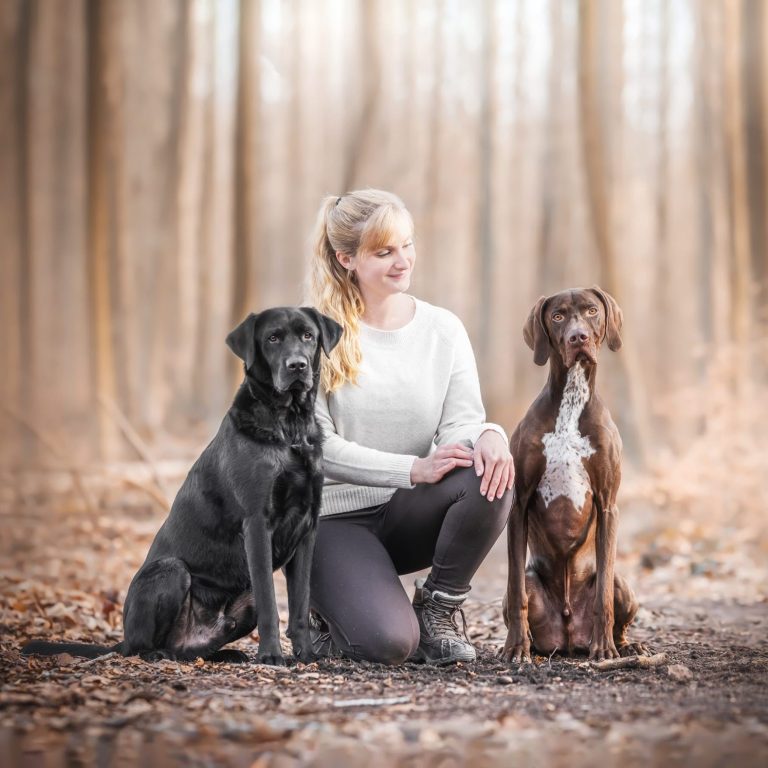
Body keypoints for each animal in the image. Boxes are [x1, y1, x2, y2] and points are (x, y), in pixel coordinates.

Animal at [22, 306, 340, 664]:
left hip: (240, 603)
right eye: (273, 338)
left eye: (308, 335)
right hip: (171, 571)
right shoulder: (257, 523)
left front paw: (307, 655)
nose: (297, 365)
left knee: (191, 649)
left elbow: (299, 603)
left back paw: (227, 654)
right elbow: (272, 604)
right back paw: (158, 654)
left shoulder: (306, 527)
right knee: (142, 646)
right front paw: (272, 655)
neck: (290, 429)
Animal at [498, 284, 648, 664]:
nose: (578, 336)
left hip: (623, 584)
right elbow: (517, 592)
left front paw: (604, 648)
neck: (571, 400)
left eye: (592, 310)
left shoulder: (609, 505)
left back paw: (624, 644)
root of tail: (567, 636)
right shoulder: (518, 504)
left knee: (613, 598)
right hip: (531, 586)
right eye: (557, 316)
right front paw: (515, 647)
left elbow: (603, 597)